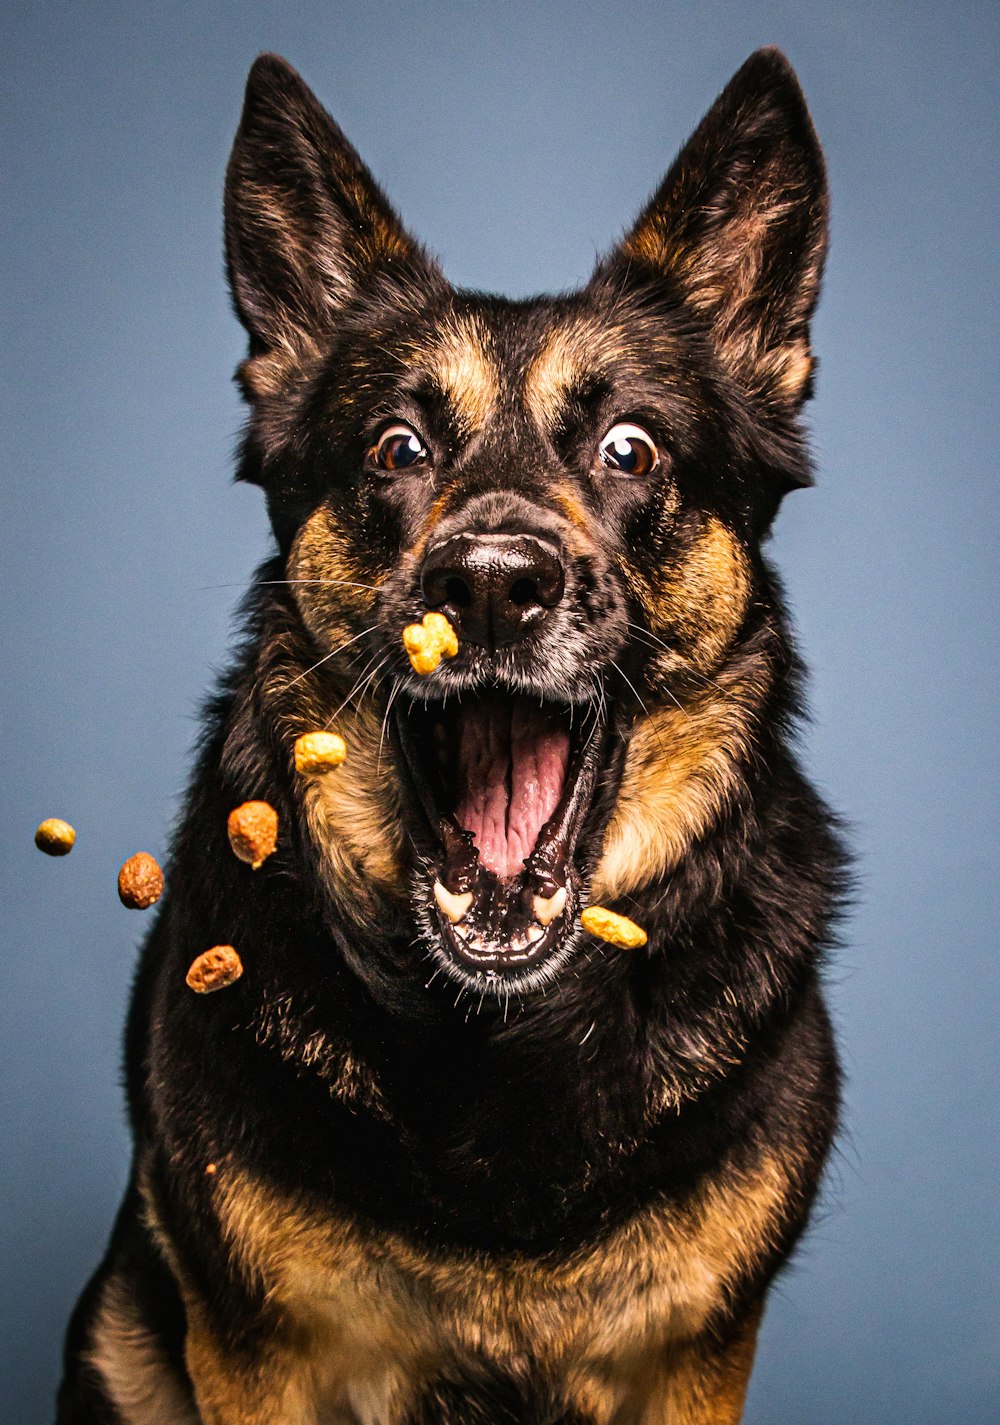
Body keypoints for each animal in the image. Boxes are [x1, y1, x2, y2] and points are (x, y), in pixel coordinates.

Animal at [56, 47, 843, 1425]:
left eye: (630, 448)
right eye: (398, 448)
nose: (489, 584)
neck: (502, 1044)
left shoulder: (694, 1355)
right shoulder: (259, 1354)